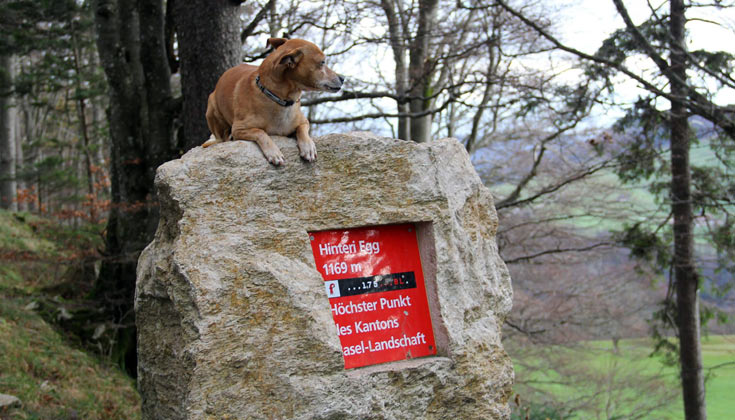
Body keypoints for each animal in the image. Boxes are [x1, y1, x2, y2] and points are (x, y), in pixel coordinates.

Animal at [203, 38, 344, 165]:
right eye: (322, 62)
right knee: (220, 137)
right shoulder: (239, 129)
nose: (343, 78)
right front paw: (273, 152)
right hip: (212, 110)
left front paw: (308, 147)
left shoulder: (303, 121)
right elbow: (260, 132)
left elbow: (302, 130)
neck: (280, 100)